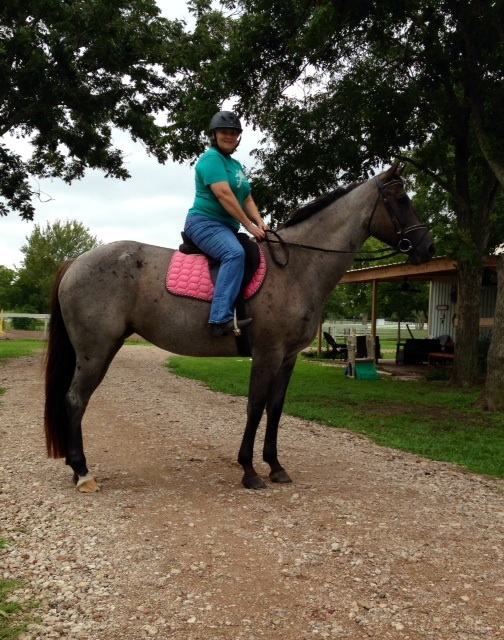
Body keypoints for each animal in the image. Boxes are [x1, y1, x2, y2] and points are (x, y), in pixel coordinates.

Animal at [44, 165, 435, 492]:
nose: (428, 248)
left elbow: (275, 409)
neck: (296, 267)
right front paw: (249, 470)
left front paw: (275, 466)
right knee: (76, 399)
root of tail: (76, 262)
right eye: (401, 200)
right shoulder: (267, 353)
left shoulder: (288, 358)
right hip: (95, 351)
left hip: (104, 348)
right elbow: (255, 407)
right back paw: (82, 472)